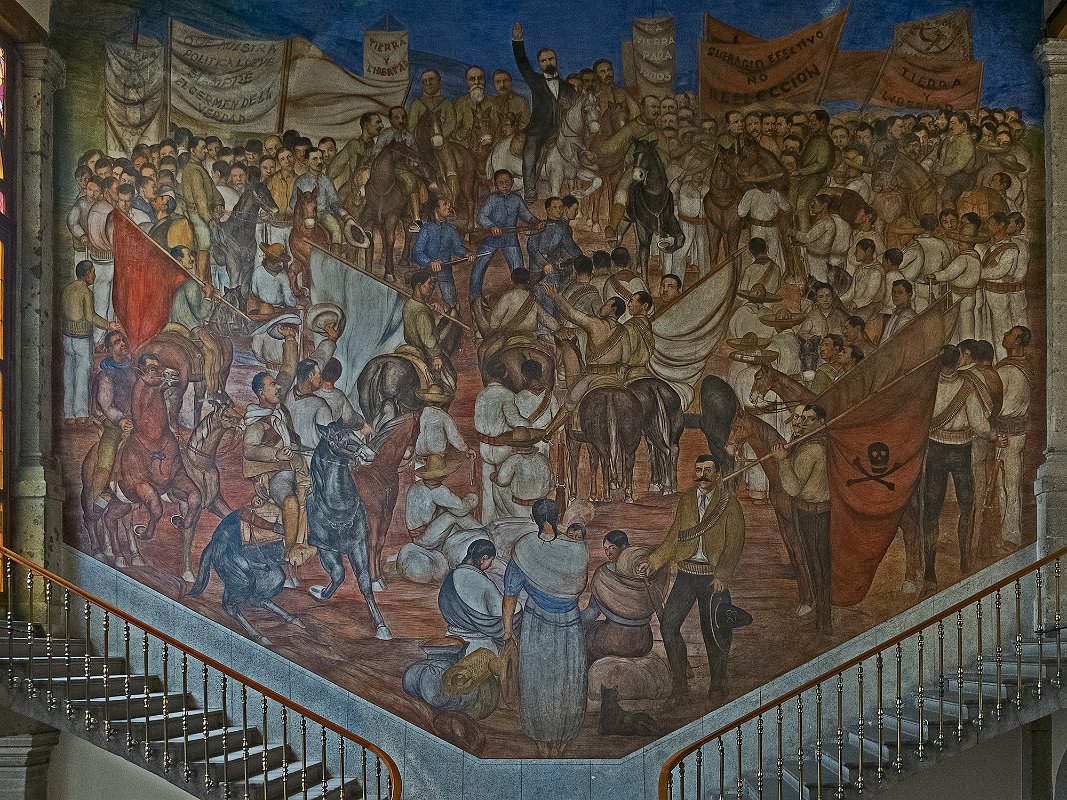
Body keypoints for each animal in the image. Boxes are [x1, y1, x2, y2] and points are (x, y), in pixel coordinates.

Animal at [188, 510, 308, 647]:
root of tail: (213, 543)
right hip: (243, 581)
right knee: (231, 605)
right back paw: (259, 636)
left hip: (272, 577)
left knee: (257, 599)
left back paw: (293, 619)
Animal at [211, 179, 279, 309]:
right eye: (260, 196)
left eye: (269, 193)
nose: (275, 211)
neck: (239, 234)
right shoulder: (234, 268)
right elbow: (233, 287)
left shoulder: (248, 267)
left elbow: (244, 290)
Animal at [305, 420, 392, 640]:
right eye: (338, 438)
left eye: (355, 434)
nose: (369, 454)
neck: (337, 509)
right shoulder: (324, 549)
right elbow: (338, 573)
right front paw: (321, 592)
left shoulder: (358, 545)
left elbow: (364, 582)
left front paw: (381, 625)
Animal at [622, 139, 684, 284]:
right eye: (635, 155)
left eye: (648, 154)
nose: (636, 175)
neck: (654, 195)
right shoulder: (642, 227)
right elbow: (644, 252)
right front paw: (645, 284)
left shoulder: (669, 220)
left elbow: (680, 238)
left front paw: (667, 248)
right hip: (630, 219)